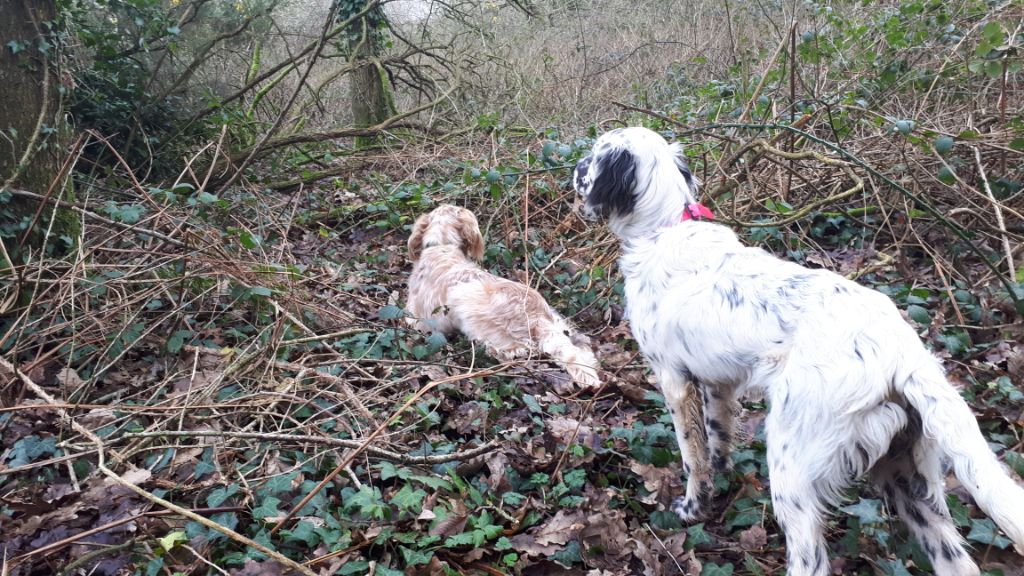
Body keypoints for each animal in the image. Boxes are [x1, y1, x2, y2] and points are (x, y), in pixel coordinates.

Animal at [405, 203, 598, 387]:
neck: (442, 246)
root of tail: (539, 316)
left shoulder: (416, 319)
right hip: (559, 322)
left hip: (466, 301)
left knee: (522, 349)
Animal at [573, 126, 1024, 573]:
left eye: (594, 155)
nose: (575, 167)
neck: (664, 227)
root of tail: (903, 354)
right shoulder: (719, 382)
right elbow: (718, 440)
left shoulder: (673, 379)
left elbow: (692, 457)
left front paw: (692, 507)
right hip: (907, 478)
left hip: (792, 467)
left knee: (811, 558)